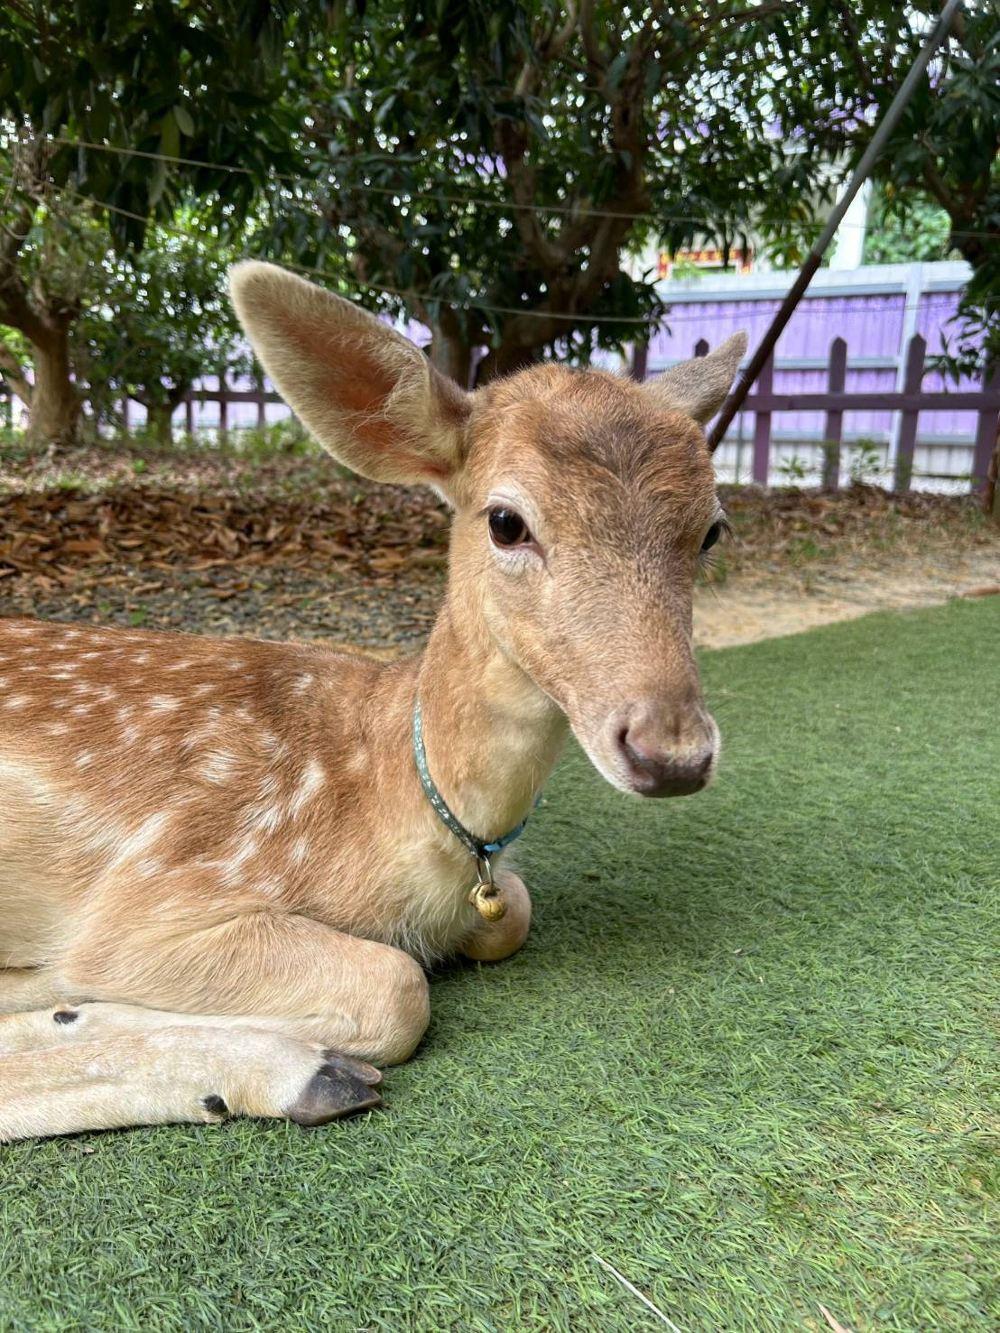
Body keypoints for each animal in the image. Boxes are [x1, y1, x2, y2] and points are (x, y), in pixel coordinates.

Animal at [0, 261, 746, 1140]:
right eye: (506, 521)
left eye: (712, 529)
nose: (674, 750)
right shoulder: (161, 890)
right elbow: (399, 987)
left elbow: (513, 913)